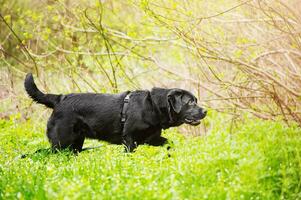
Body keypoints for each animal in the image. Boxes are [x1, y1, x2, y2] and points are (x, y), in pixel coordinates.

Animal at [24, 72, 206, 152]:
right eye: (190, 102)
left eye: (196, 101)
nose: (205, 111)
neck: (152, 106)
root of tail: (60, 98)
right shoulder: (129, 139)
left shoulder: (151, 138)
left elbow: (170, 143)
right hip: (62, 142)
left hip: (76, 143)